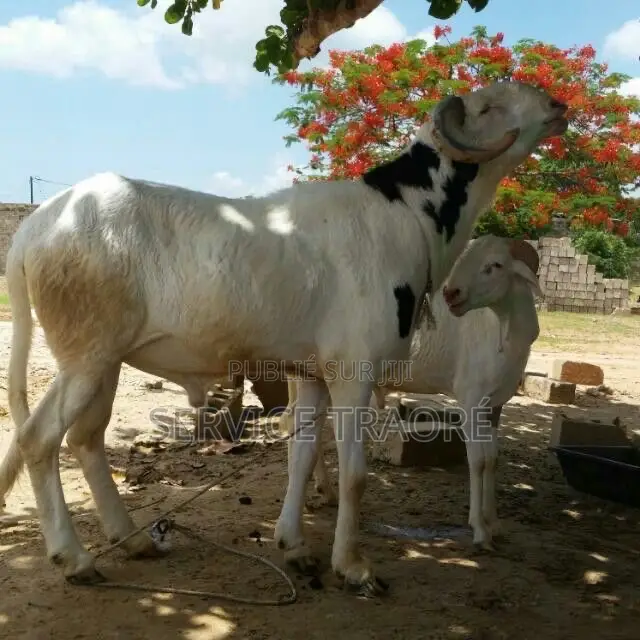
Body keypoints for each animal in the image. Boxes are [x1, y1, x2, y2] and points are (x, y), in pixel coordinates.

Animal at [283, 234, 542, 552]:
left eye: (494, 265)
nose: (451, 293)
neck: (500, 330)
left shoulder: (495, 406)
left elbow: (493, 459)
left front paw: (494, 523)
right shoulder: (471, 400)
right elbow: (478, 462)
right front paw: (480, 530)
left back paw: (326, 492)